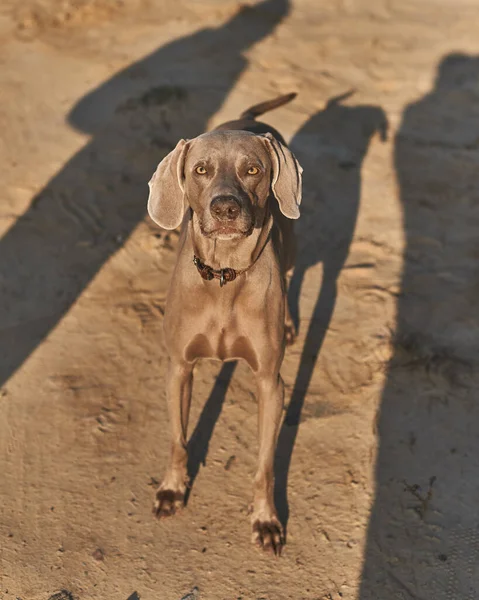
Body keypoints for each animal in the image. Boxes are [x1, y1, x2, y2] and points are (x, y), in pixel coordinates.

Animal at [148, 91, 302, 556]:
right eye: (201, 169)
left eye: (253, 169)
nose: (226, 208)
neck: (223, 276)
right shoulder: (178, 367)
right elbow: (178, 440)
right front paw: (172, 490)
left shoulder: (271, 382)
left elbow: (265, 464)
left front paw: (266, 520)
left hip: (292, 238)